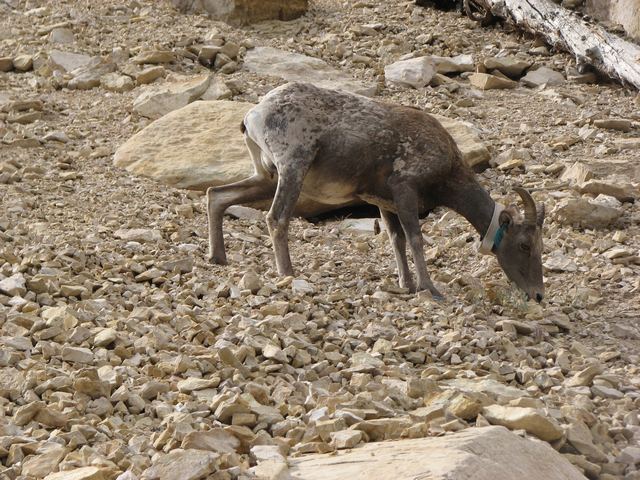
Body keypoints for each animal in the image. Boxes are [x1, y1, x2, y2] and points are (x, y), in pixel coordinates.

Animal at [209, 82, 544, 300]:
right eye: (525, 245)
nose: (538, 294)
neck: (447, 170)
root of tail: (252, 115)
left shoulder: (384, 203)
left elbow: (397, 239)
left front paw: (407, 285)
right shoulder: (405, 190)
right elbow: (415, 238)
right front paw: (430, 289)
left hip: (266, 175)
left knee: (217, 195)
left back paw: (218, 258)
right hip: (292, 169)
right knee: (276, 218)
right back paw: (288, 274)